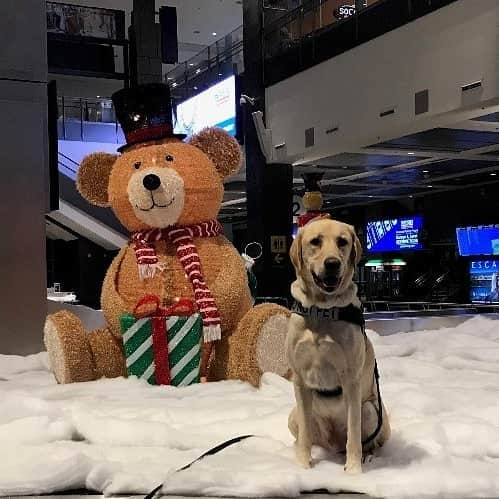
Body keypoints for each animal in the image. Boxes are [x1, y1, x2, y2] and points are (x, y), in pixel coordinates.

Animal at [290, 221, 390, 474]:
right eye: (315, 241)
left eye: (342, 241)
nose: (332, 263)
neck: (322, 311)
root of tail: (332, 445)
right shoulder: (300, 380)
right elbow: (305, 434)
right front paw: (302, 465)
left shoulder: (351, 380)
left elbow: (354, 435)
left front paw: (353, 471)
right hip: (293, 414)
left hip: (371, 410)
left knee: (368, 440)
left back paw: (367, 457)